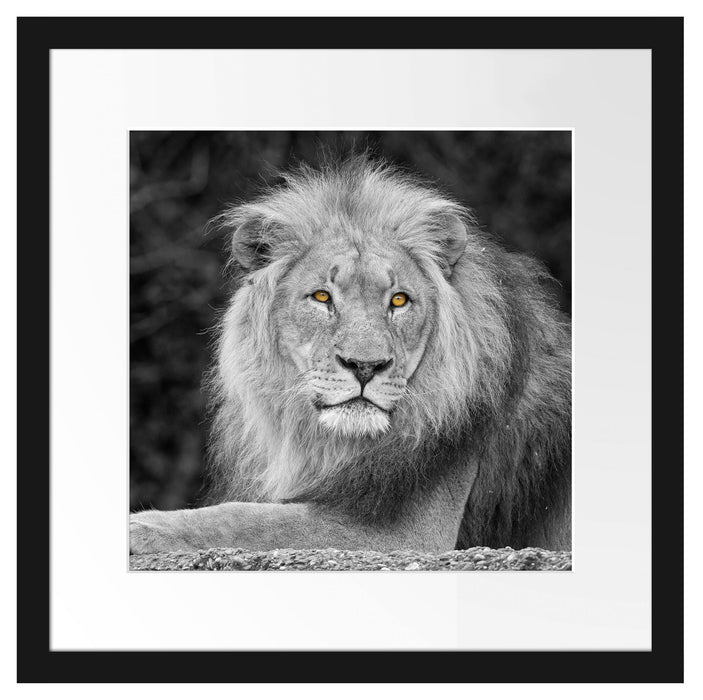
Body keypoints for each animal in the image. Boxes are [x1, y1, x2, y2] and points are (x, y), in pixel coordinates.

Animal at [130, 156, 571, 555]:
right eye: (322, 297)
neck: (332, 445)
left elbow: (249, 518)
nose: (365, 366)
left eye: (399, 300)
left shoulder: (409, 535)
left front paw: (144, 526)